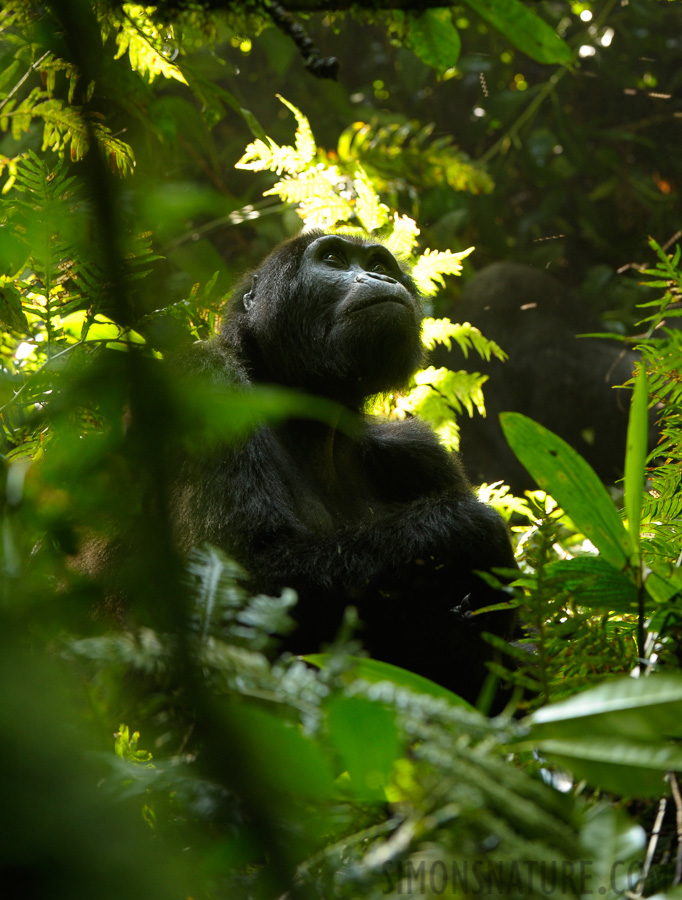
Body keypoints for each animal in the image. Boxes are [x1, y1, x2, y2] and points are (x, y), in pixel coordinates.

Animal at [171, 230, 516, 704]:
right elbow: (240, 584)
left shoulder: (418, 451)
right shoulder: (205, 381)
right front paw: (468, 532)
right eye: (333, 259)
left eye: (380, 265)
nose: (380, 278)